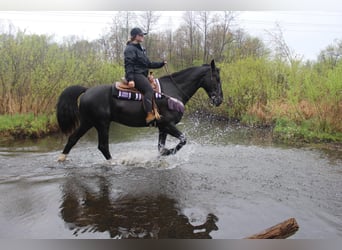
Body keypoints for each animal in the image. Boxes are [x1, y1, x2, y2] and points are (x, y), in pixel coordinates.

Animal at [56, 59, 222, 161]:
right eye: (217, 79)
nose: (219, 100)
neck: (173, 90)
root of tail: (87, 90)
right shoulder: (167, 124)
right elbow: (182, 140)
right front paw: (168, 152)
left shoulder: (162, 127)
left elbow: (160, 147)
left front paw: (163, 154)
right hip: (102, 124)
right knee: (103, 146)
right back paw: (114, 162)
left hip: (88, 122)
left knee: (73, 139)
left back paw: (62, 158)